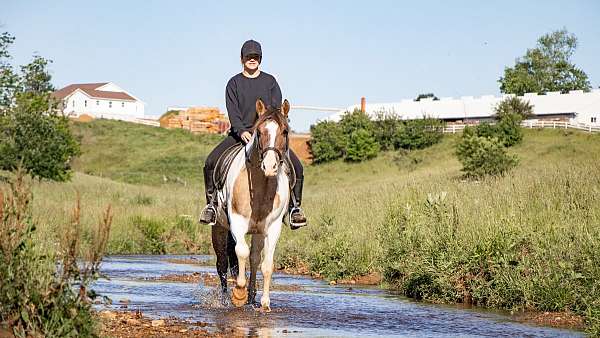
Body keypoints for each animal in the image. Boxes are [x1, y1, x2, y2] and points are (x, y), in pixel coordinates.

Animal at [211, 97, 292, 312]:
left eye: (284, 131)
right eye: (259, 131)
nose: (270, 166)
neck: (260, 186)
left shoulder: (272, 228)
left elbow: (266, 264)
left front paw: (264, 302)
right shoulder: (237, 222)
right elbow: (241, 252)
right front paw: (238, 293)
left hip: (258, 232)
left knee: (254, 258)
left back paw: (252, 296)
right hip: (219, 227)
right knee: (222, 262)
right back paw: (227, 298)